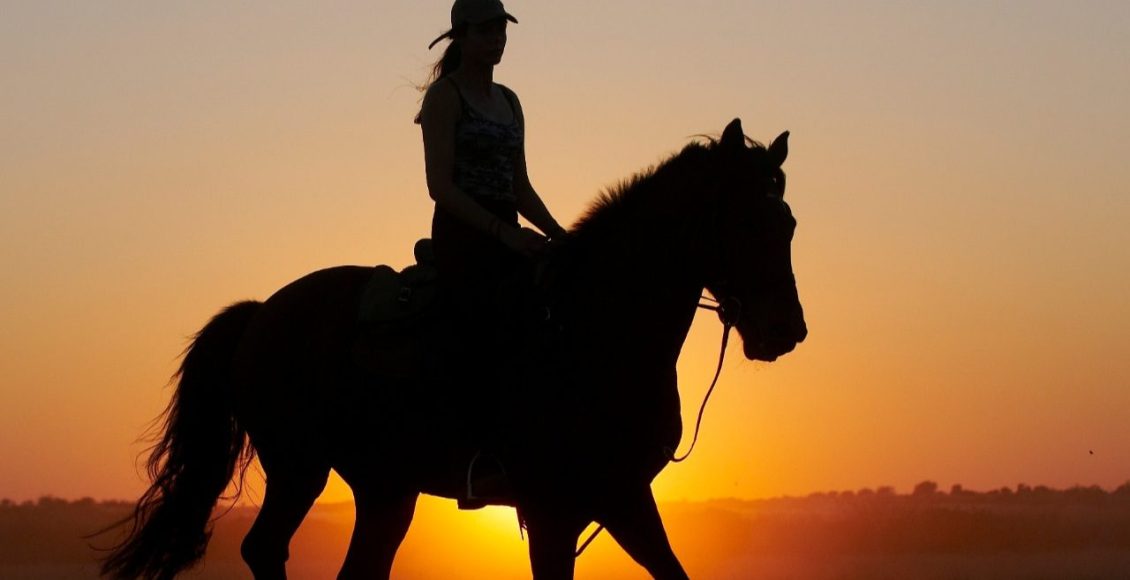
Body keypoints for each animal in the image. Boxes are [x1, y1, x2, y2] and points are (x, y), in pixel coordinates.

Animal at [99, 118, 804, 578]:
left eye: (790, 222)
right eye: (748, 221)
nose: (786, 329)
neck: (593, 335)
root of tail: (261, 314)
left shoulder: (622, 497)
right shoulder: (552, 510)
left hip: (385, 488)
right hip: (300, 467)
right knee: (264, 550)